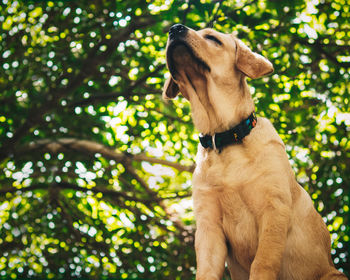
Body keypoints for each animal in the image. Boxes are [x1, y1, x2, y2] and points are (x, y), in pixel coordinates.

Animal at [162, 24, 348, 280]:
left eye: (213, 38)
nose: (174, 29)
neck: (226, 137)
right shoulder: (208, 226)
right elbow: (206, 271)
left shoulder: (274, 209)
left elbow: (263, 263)